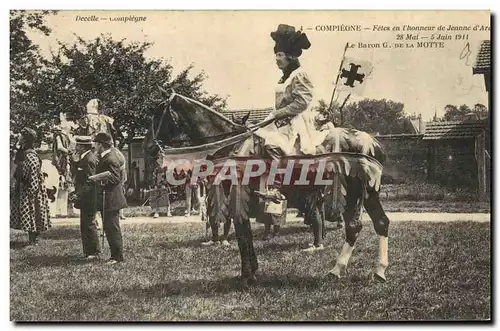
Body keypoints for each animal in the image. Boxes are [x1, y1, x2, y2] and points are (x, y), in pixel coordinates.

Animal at [144, 91, 390, 286]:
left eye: (158, 113)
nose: (148, 148)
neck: (232, 145)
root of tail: (372, 142)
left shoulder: (238, 195)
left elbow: (242, 235)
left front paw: (247, 276)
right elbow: (245, 235)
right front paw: (251, 271)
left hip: (356, 193)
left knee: (356, 226)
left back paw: (341, 269)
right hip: (366, 194)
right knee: (378, 223)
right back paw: (373, 271)